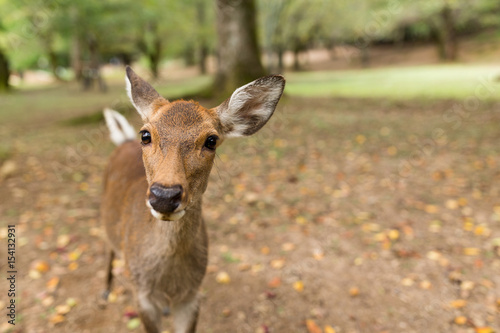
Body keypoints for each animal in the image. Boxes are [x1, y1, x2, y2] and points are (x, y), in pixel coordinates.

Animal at [100, 65, 286, 332]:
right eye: (145, 135)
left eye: (211, 140)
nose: (164, 196)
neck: (171, 279)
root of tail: (122, 141)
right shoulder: (141, 295)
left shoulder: (192, 296)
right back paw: (105, 291)